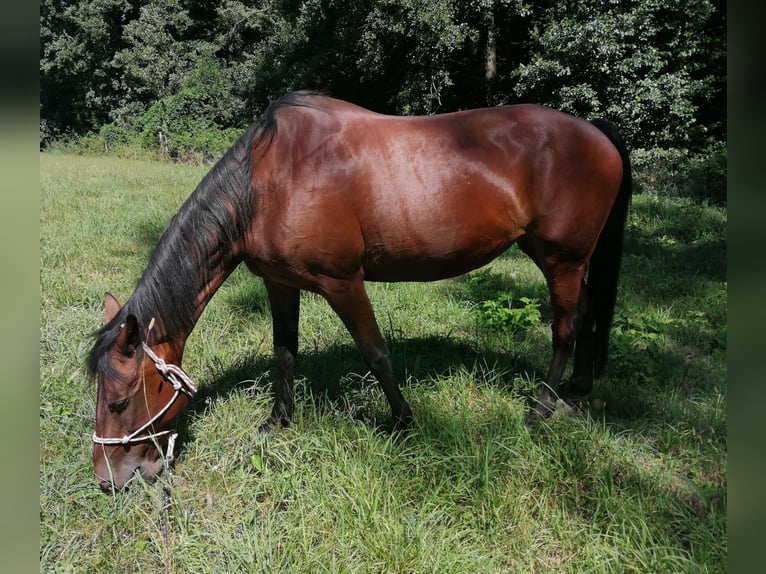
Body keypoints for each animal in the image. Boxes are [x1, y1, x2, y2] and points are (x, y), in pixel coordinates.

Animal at [87, 92, 632, 492]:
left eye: (119, 402)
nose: (109, 479)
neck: (269, 181)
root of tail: (596, 131)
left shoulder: (342, 282)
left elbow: (376, 353)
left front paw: (406, 423)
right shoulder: (280, 283)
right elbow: (285, 352)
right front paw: (278, 421)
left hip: (561, 260)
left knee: (566, 326)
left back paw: (541, 408)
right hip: (567, 263)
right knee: (587, 312)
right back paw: (578, 387)